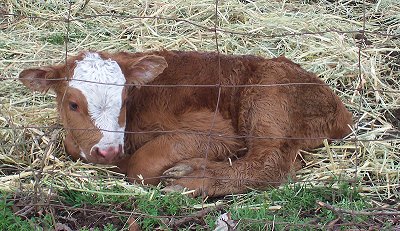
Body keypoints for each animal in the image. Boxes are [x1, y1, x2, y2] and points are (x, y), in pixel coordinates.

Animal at [18, 50, 352, 197]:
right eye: (73, 104)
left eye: (124, 100)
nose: (108, 151)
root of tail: (341, 112)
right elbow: (72, 144)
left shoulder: (218, 128)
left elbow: (142, 165)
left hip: (268, 95)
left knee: (269, 162)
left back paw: (191, 180)